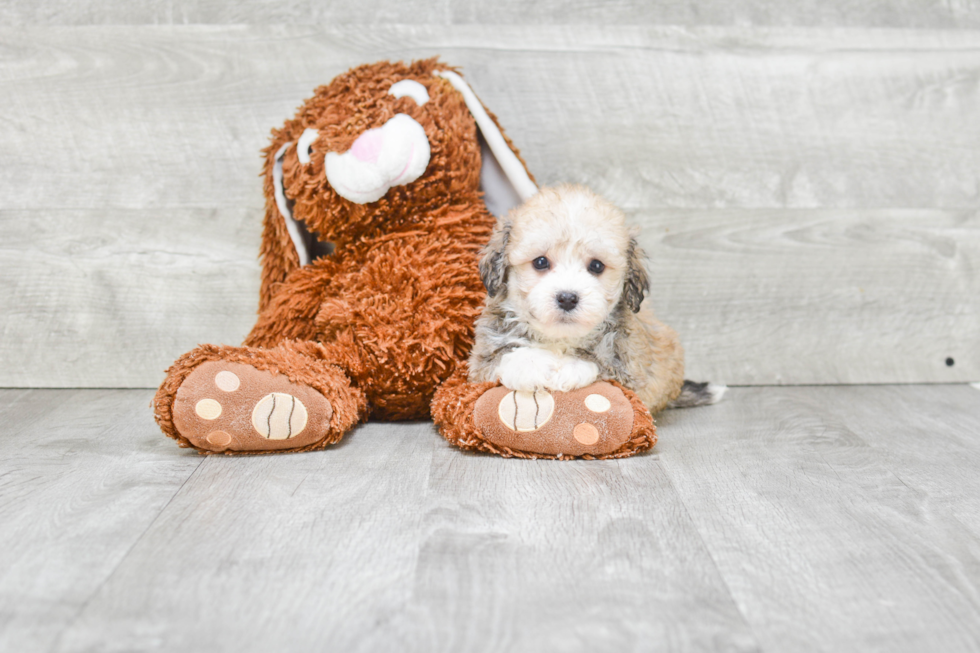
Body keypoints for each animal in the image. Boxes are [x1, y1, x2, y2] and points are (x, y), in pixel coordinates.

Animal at [468, 182, 728, 412]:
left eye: (596, 266)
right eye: (540, 262)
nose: (567, 298)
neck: (559, 339)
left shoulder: (631, 374)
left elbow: (600, 365)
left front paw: (568, 368)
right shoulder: (480, 363)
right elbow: (504, 357)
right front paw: (533, 365)